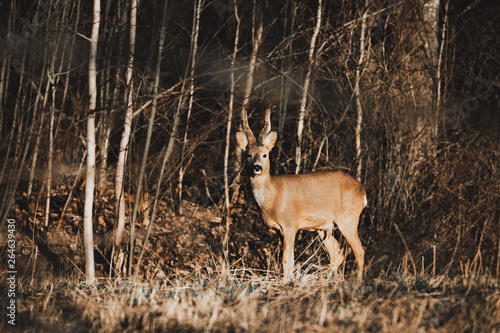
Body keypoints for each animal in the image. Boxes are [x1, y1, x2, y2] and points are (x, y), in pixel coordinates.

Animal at [236, 109, 366, 280]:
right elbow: (289, 260)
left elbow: (286, 260)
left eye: (265, 154)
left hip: (348, 217)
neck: (272, 198)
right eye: (248, 154)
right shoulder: (279, 230)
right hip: (323, 227)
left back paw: (358, 282)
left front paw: (285, 282)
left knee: (359, 250)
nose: (257, 167)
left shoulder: (290, 224)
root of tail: (363, 192)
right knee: (337, 253)